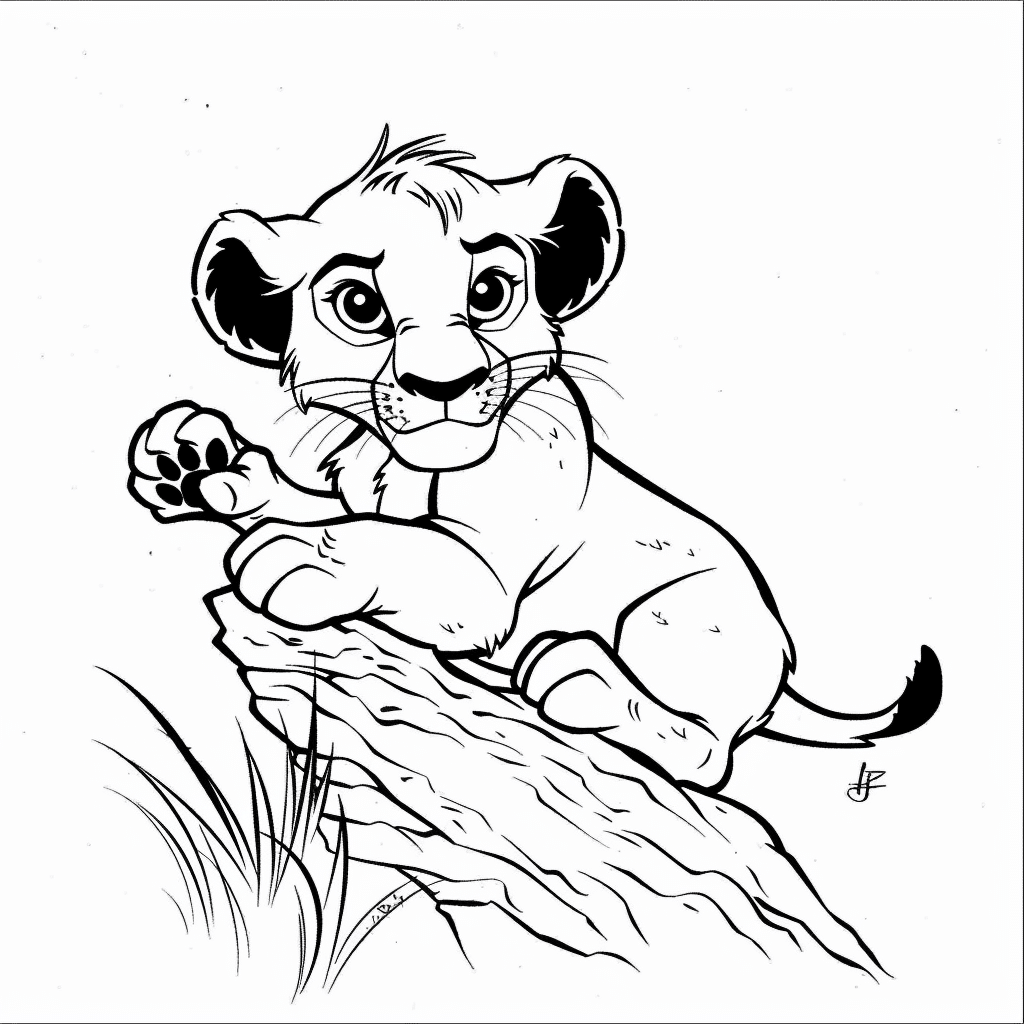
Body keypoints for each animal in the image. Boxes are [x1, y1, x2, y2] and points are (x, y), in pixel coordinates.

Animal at [128, 129, 940, 790]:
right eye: (360, 305)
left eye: (489, 291)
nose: (445, 384)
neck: (406, 466)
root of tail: (781, 659)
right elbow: (318, 502)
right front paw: (197, 462)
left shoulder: (485, 571)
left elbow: (395, 545)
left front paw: (302, 556)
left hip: (683, 614)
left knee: (706, 752)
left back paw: (577, 679)